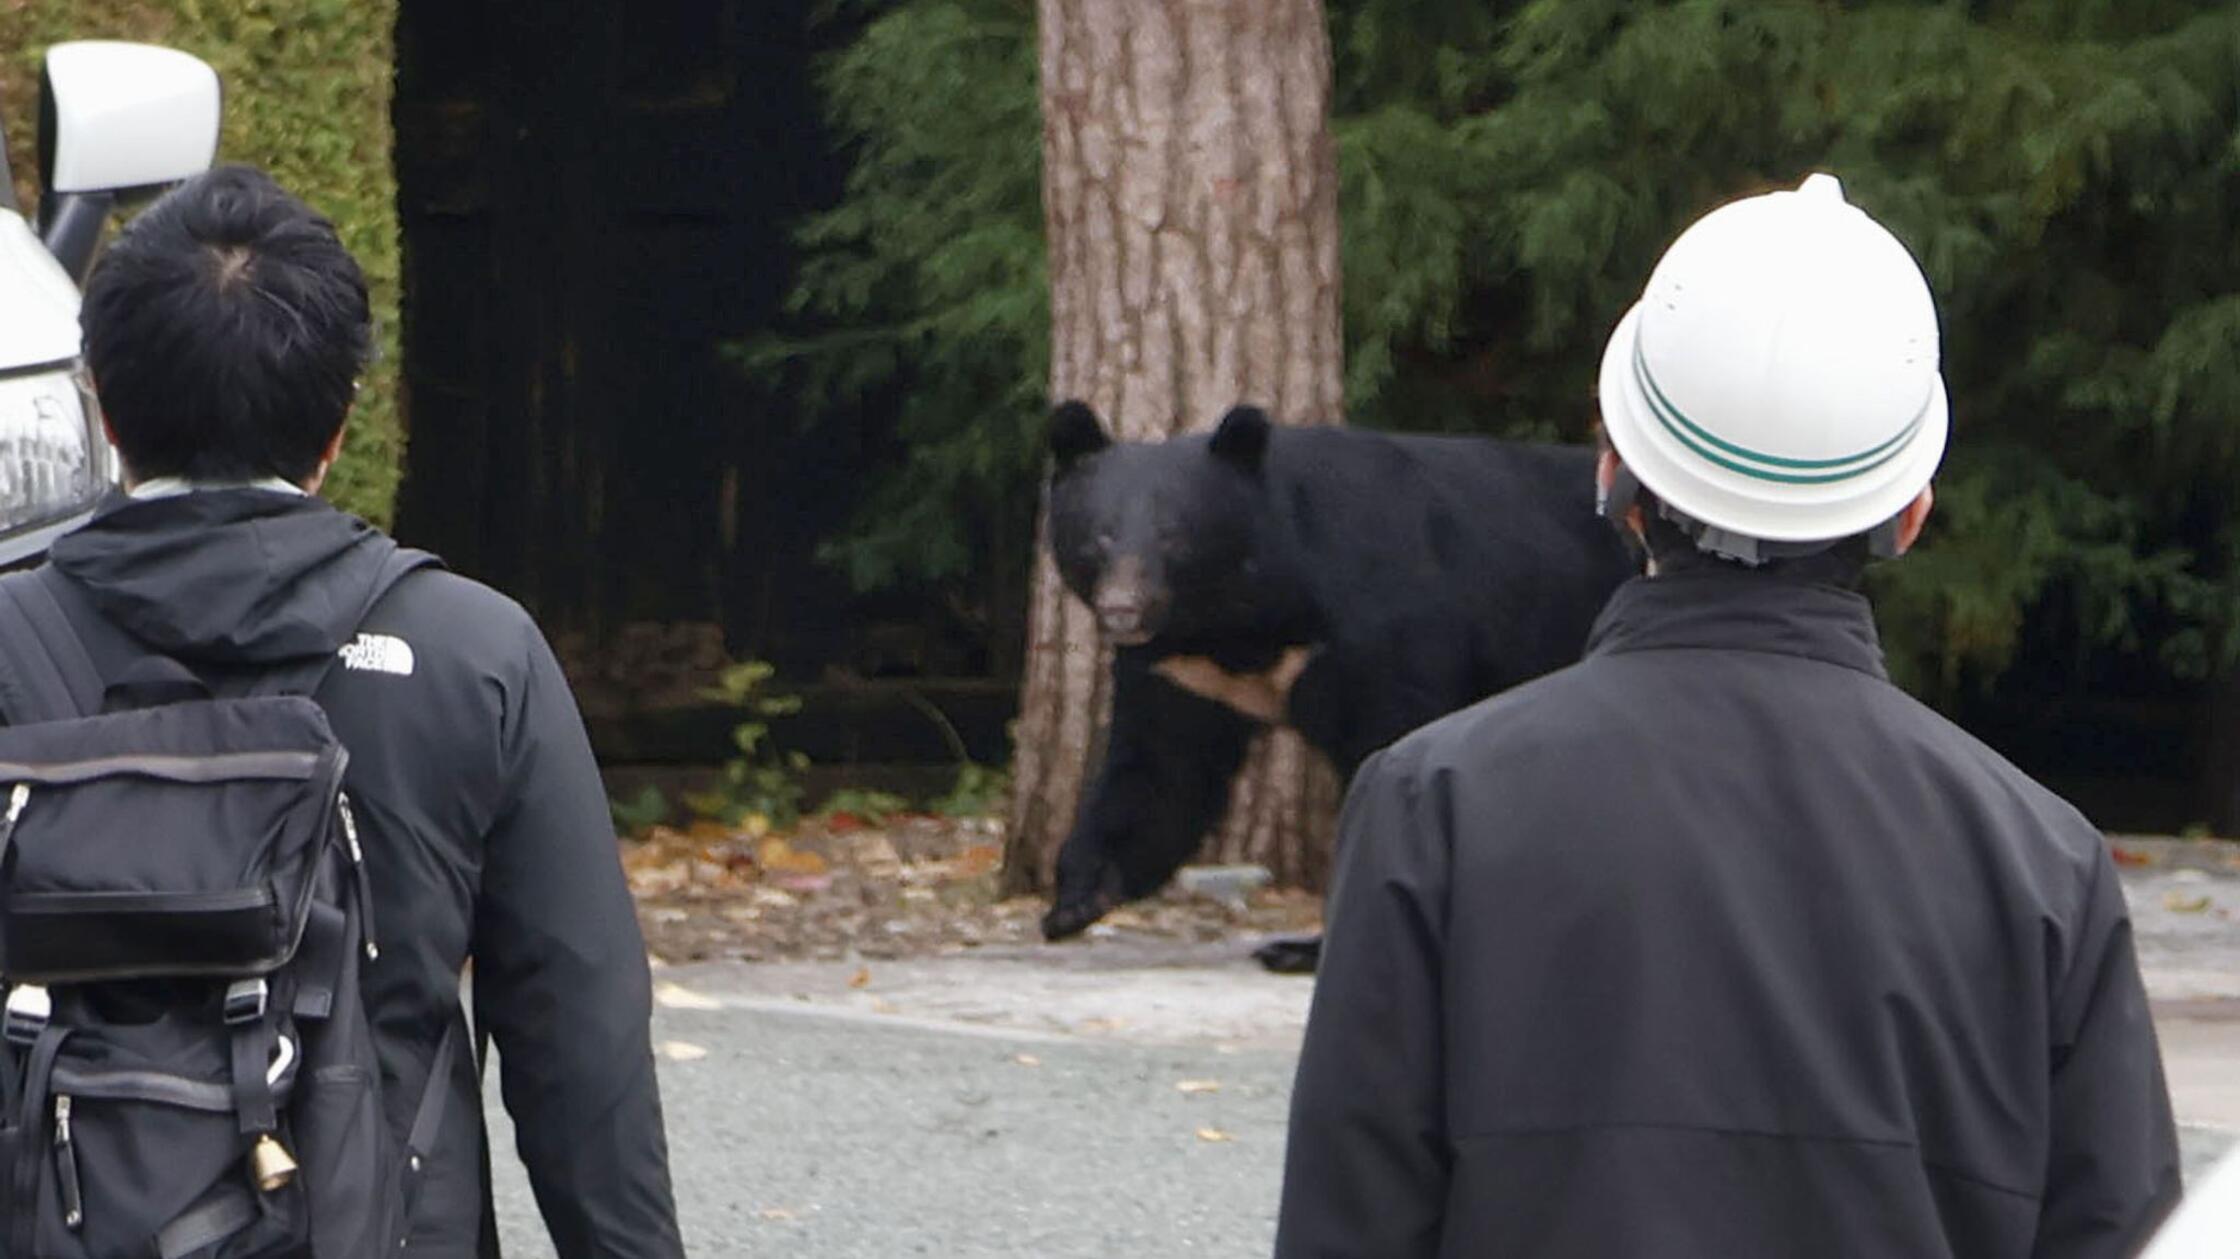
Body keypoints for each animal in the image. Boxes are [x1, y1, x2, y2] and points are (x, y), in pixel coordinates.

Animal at [1038, 399, 1639, 971]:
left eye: (1175, 537)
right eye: (1099, 536)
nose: (1122, 609)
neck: (1241, 620)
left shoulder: (1376, 626)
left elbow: (1389, 745)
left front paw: (1306, 947)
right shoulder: (1184, 671)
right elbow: (1161, 769)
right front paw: (1077, 899)